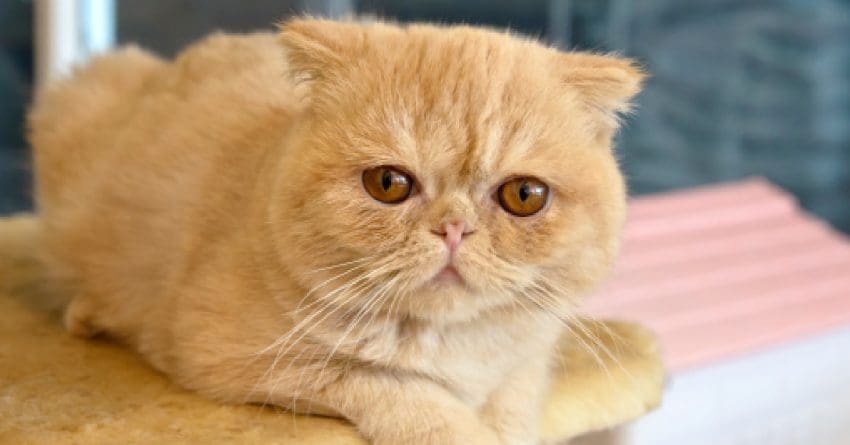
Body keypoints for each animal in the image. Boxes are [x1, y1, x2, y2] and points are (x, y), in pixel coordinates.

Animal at [28, 15, 644, 442]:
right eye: (388, 183)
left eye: (524, 196)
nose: (453, 228)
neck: (449, 347)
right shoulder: (231, 356)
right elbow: (403, 391)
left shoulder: (526, 362)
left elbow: (512, 409)